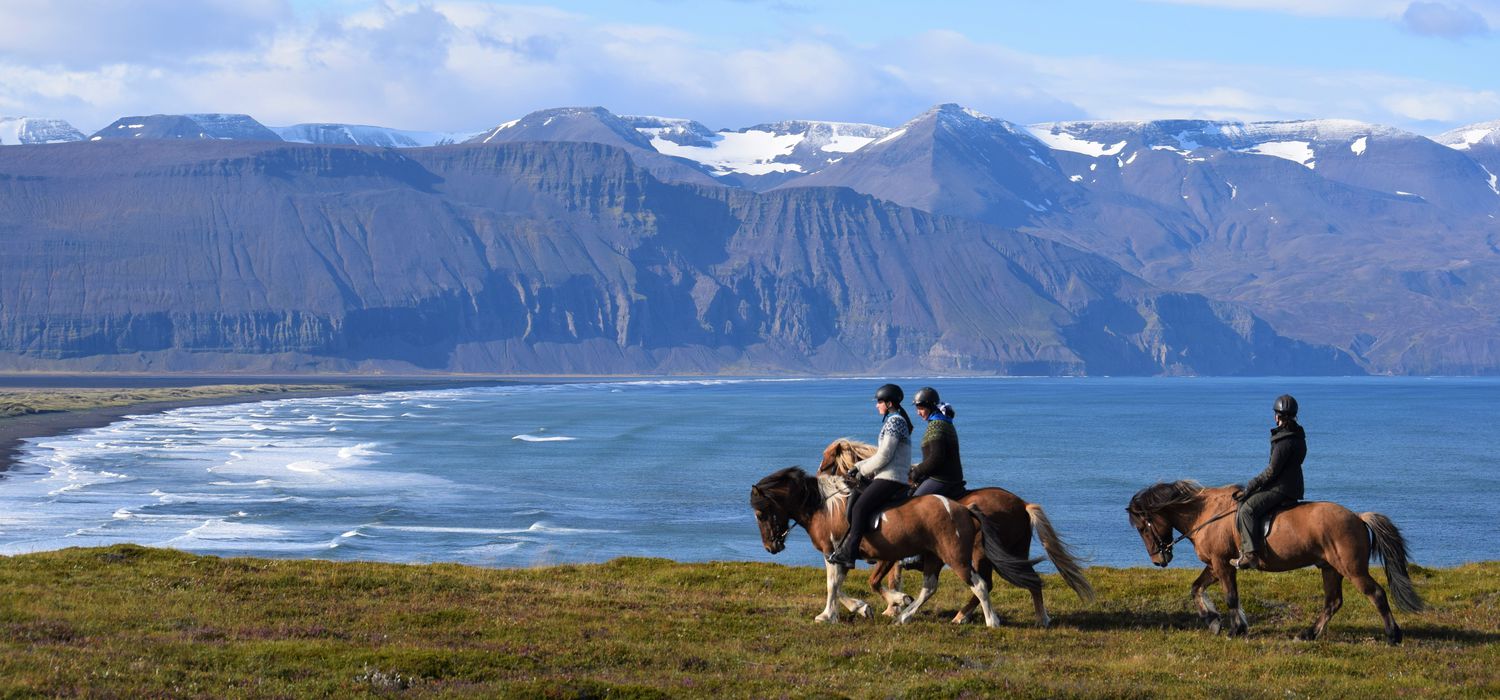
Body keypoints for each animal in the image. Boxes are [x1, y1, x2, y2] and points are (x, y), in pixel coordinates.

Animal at [744, 467, 1038, 626]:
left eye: (760, 514)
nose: (771, 547)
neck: (824, 505)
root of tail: (963, 508)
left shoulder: (835, 553)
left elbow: (833, 585)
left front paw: (829, 615)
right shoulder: (849, 556)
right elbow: (844, 585)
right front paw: (867, 607)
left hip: (957, 556)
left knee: (979, 585)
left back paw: (990, 621)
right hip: (936, 556)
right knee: (931, 587)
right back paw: (906, 617)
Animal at [816, 437, 1098, 629]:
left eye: (826, 459)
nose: (818, 476)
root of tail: (1022, 504)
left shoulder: (890, 556)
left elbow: (877, 582)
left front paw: (893, 606)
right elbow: (887, 582)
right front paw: (894, 607)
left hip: (982, 555)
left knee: (992, 583)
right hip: (1010, 552)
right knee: (1019, 580)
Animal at [1128, 482, 1428, 647]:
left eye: (1142, 527)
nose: (1159, 560)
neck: (1206, 514)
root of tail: (1357, 516)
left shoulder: (1222, 564)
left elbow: (1230, 596)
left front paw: (1235, 629)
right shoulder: (1216, 564)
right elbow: (1196, 588)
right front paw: (1212, 621)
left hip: (1351, 569)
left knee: (1375, 594)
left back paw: (1393, 636)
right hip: (1329, 568)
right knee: (1333, 602)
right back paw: (1308, 634)